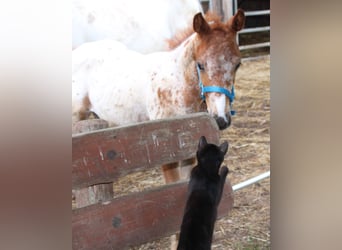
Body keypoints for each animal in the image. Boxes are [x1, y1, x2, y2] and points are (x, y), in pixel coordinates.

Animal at [72, 10, 244, 184]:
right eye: (200, 65)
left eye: (237, 65)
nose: (221, 119)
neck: (178, 86)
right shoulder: (165, 152)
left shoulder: (189, 148)